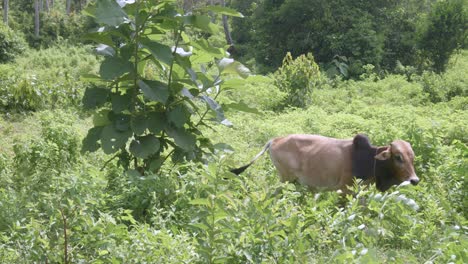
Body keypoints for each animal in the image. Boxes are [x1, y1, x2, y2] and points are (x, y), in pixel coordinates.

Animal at [230, 134, 420, 192]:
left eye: (412, 158)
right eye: (398, 157)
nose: (414, 180)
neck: (367, 159)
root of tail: (274, 140)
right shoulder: (344, 189)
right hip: (285, 179)